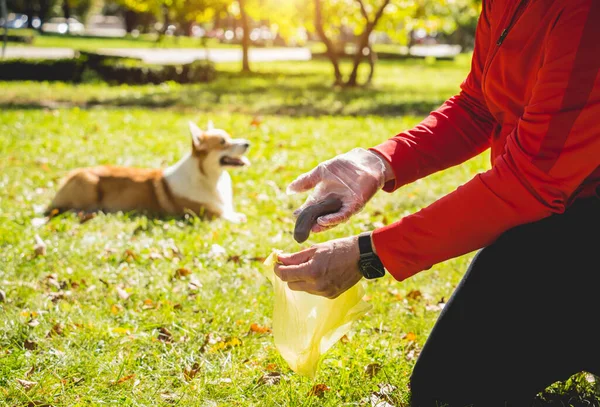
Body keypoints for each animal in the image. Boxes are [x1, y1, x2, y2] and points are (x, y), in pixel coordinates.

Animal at [45, 121, 250, 223]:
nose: (248, 143)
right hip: (89, 182)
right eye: (223, 142)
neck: (211, 179)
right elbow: (232, 218)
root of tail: (69, 176)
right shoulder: (205, 214)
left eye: (229, 137)